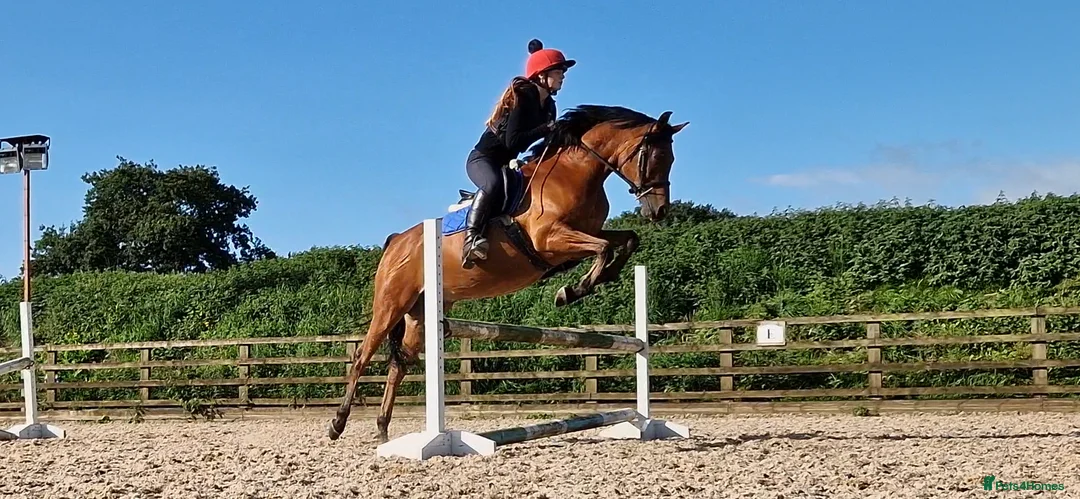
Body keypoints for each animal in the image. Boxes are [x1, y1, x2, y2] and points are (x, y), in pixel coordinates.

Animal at [328, 104, 688, 443]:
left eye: (671, 158)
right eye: (656, 157)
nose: (659, 211)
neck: (574, 172)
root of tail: (397, 241)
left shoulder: (587, 233)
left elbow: (626, 240)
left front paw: (595, 280)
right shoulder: (551, 239)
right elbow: (602, 249)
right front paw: (571, 291)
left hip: (421, 314)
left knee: (398, 364)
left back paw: (383, 428)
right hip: (391, 303)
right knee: (361, 356)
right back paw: (338, 423)